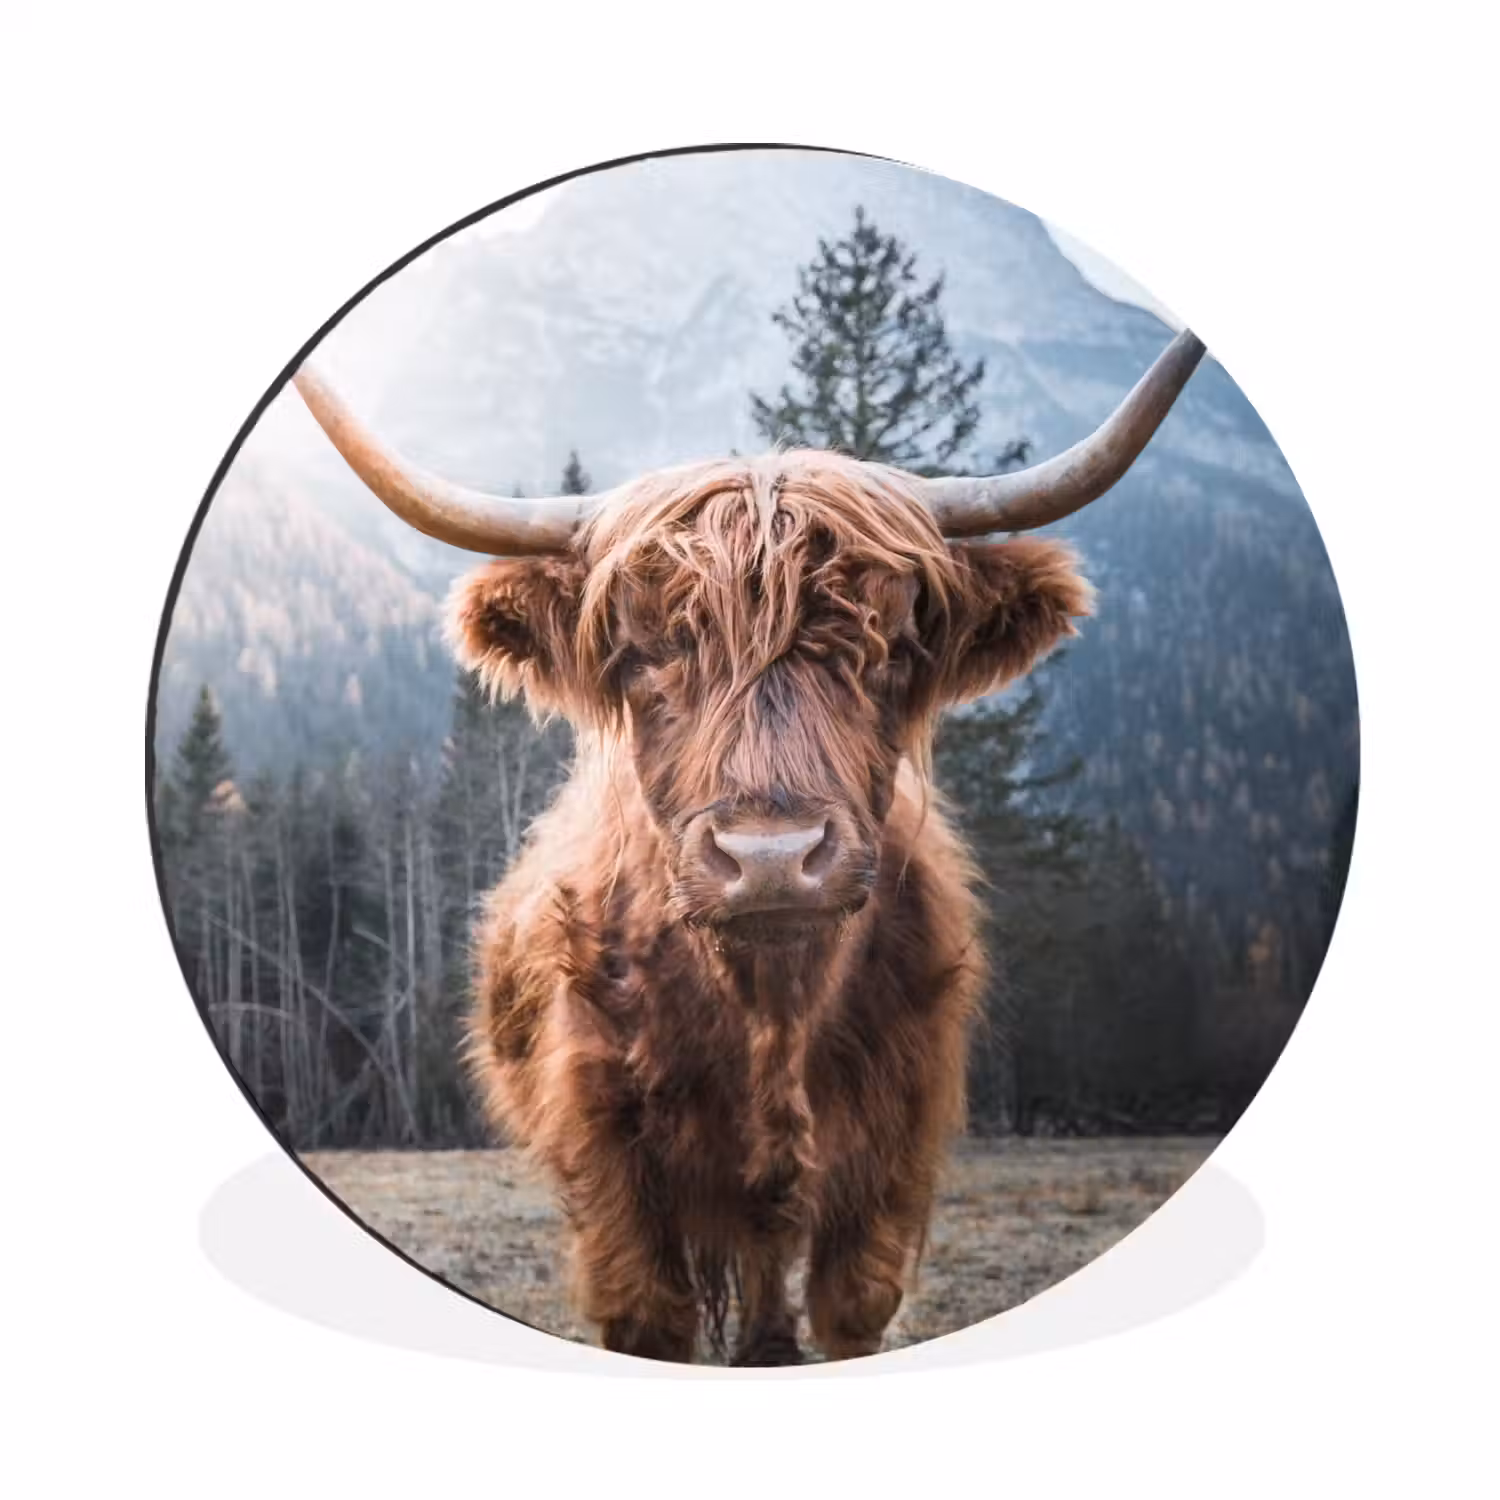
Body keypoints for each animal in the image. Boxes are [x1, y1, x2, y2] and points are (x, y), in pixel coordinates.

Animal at [292, 326, 1206, 1364]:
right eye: (643, 652)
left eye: (891, 646)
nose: (771, 856)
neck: (769, 1010)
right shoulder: (611, 1164)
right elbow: (651, 1317)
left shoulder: (892, 1152)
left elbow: (850, 1306)